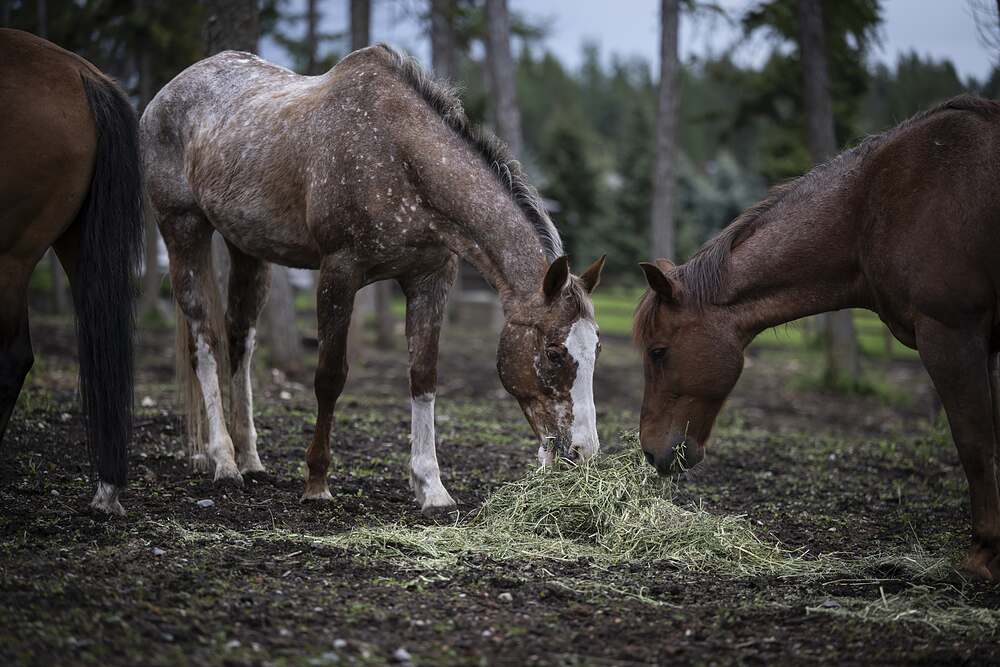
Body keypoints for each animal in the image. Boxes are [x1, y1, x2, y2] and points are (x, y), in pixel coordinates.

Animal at [141, 44, 606, 514]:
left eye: (596, 348)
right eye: (553, 353)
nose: (584, 452)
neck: (399, 157)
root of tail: (164, 95)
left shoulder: (430, 278)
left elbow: (423, 377)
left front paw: (431, 487)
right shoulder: (339, 273)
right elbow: (329, 377)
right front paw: (317, 482)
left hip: (248, 251)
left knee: (240, 341)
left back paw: (249, 457)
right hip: (183, 230)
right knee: (205, 343)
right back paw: (223, 461)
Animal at [633, 95, 1000, 579]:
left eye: (658, 352)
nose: (650, 451)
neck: (869, 209)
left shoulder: (951, 335)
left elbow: (974, 442)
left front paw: (981, 555)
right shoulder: (987, 346)